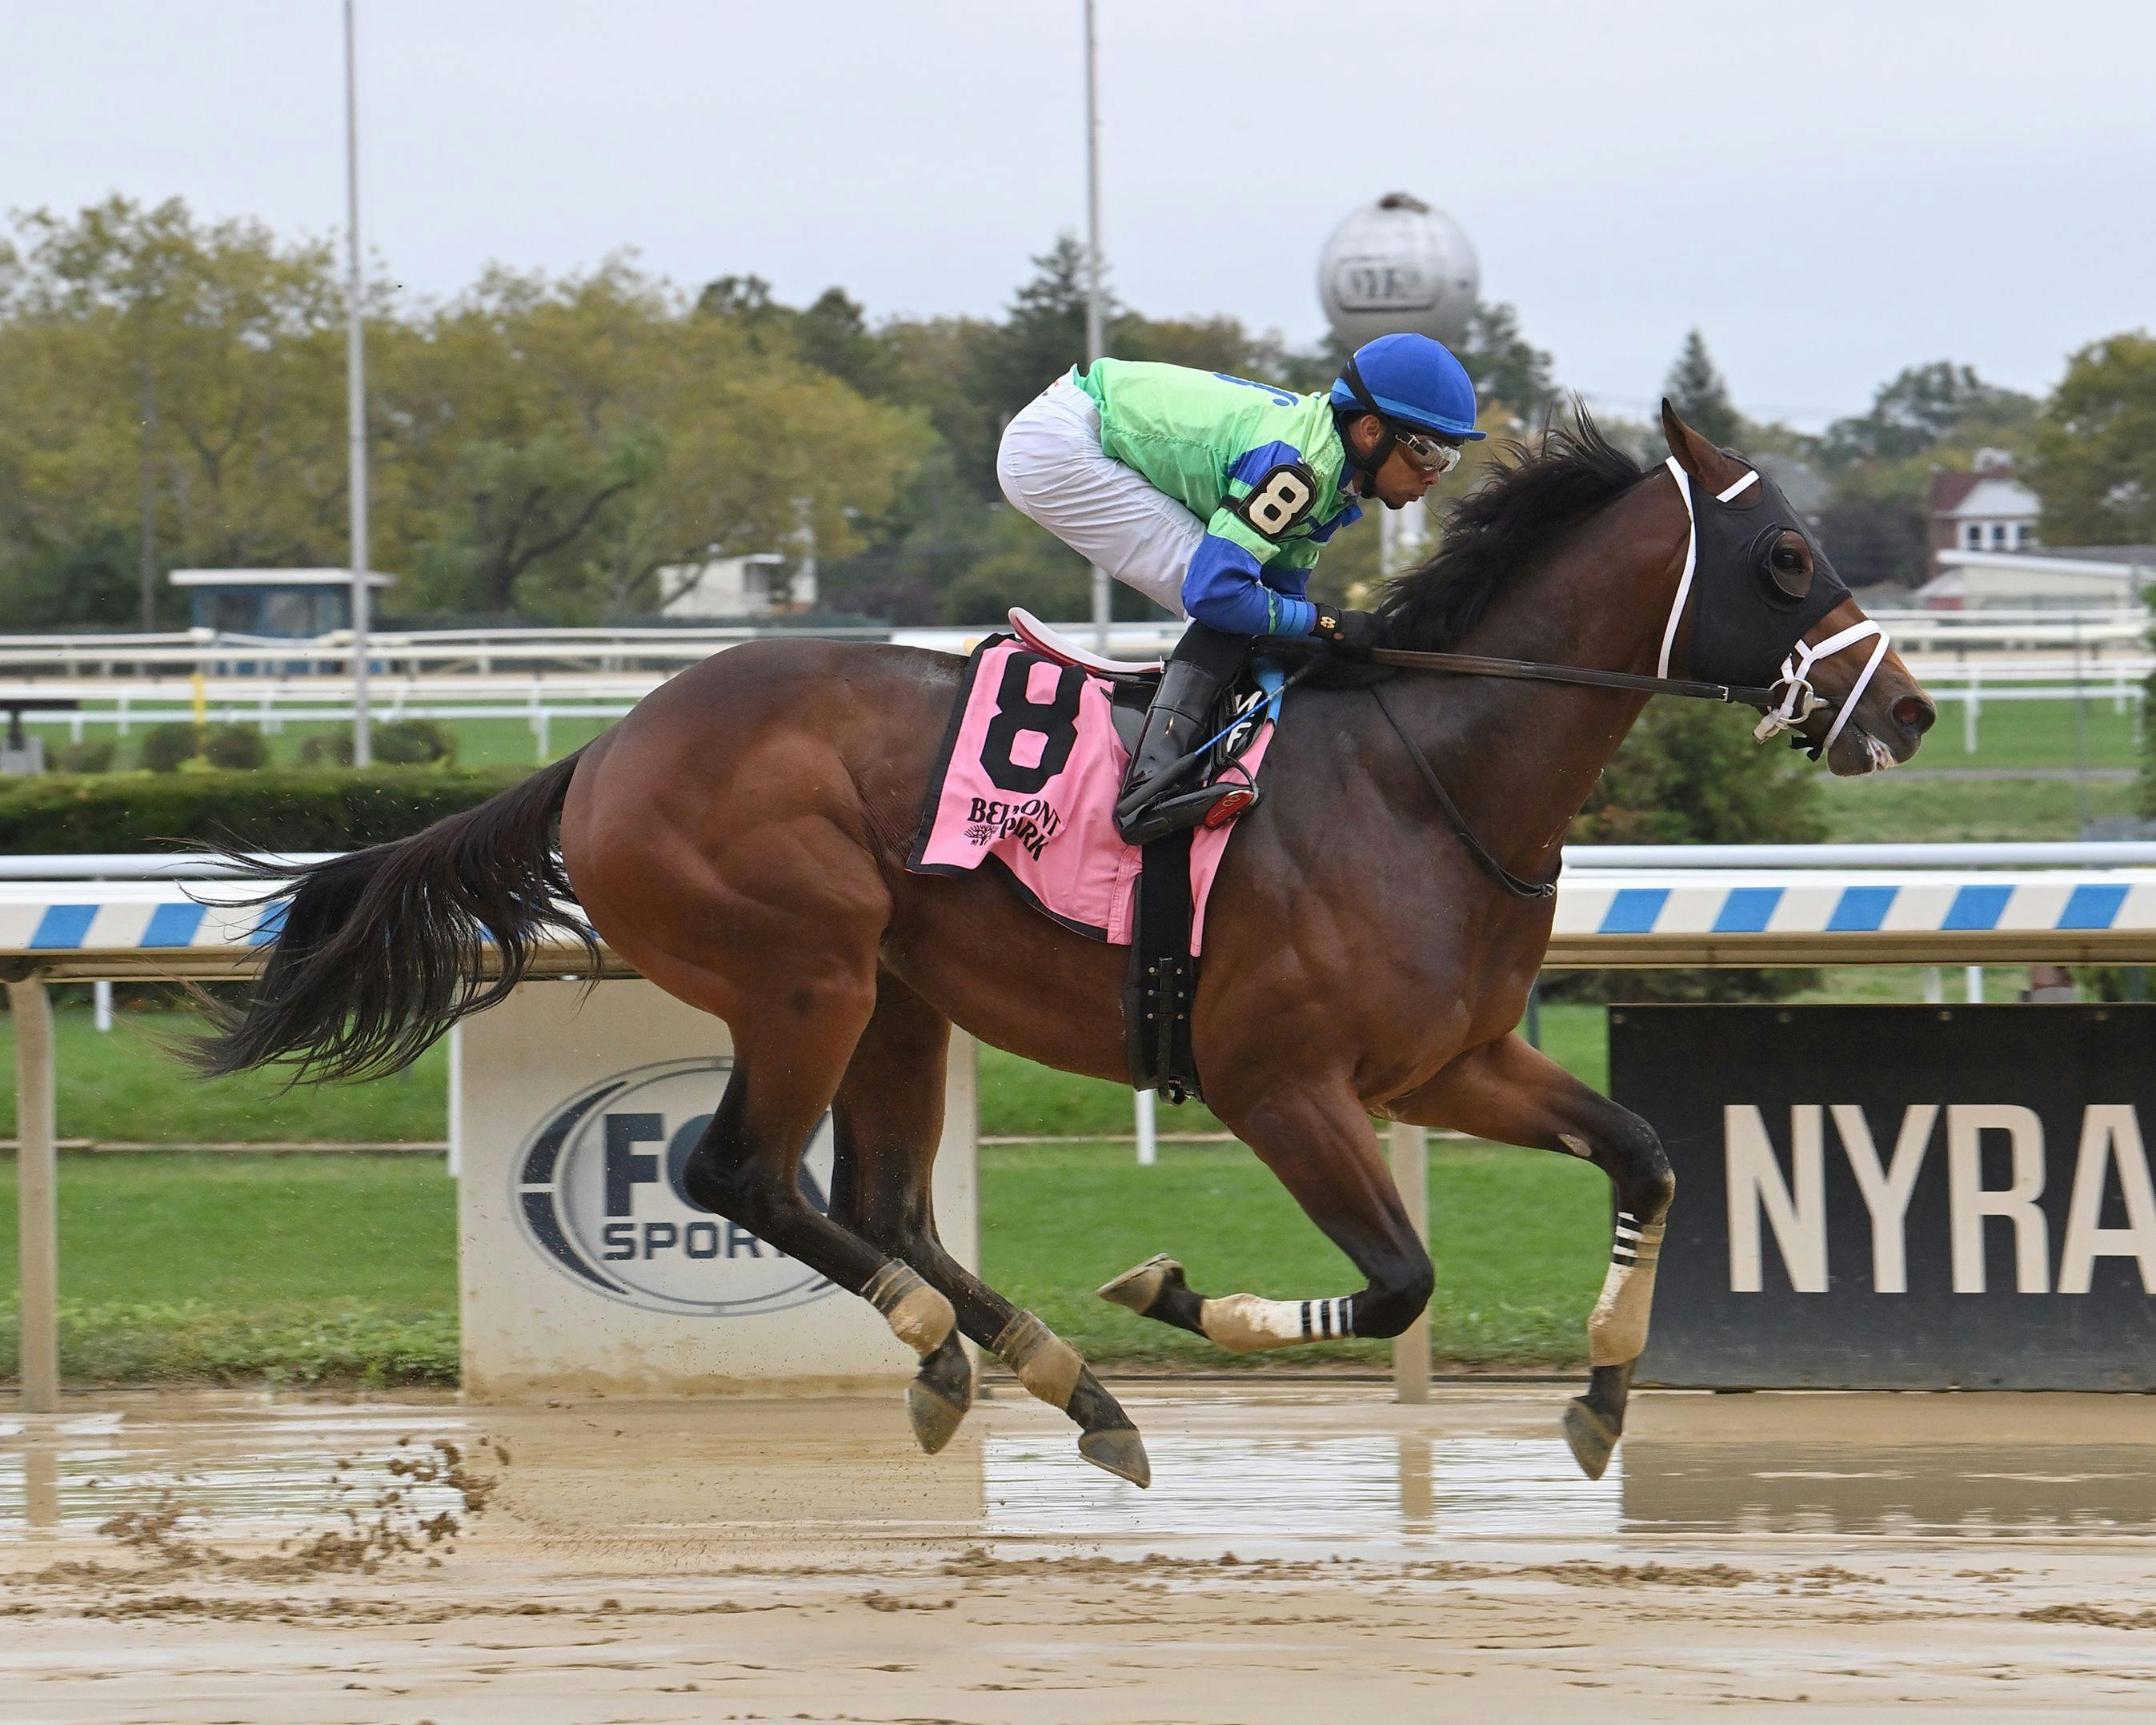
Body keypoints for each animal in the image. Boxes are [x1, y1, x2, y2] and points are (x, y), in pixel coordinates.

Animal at [202, 401, 1940, 1483]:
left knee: (881, 1204)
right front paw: (1173, 1291)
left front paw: (1600, 1391)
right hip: (806, 969)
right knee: (736, 1174)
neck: (1426, 774)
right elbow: (1396, 1284)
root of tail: (605, 750)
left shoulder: (1452, 1064)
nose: (1909, 709)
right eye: (1787, 558)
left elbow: (1644, 1157)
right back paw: (980, 1354)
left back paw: (1055, 1380)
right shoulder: (1275, 1082)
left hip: (897, 1000)